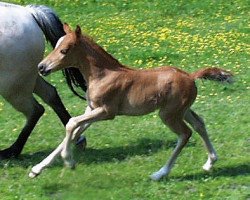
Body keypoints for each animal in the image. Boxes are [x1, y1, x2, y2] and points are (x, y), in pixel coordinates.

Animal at [30, 24, 233, 180]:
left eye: (64, 50)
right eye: (55, 46)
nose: (41, 67)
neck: (103, 74)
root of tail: (191, 76)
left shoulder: (106, 112)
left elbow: (71, 124)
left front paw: (69, 161)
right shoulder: (91, 109)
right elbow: (74, 131)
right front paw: (37, 169)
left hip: (168, 114)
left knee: (185, 134)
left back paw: (160, 173)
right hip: (182, 110)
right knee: (199, 124)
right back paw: (210, 162)